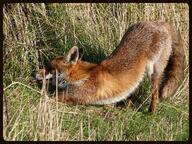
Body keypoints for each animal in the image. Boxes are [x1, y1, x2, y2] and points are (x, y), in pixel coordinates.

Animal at [35, 20, 184, 112]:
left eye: (50, 68)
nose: (36, 73)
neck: (81, 76)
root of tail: (158, 22)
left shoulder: (79, 96)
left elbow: (50, 96)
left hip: (154, 72)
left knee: (155, 95)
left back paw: (151, 112)